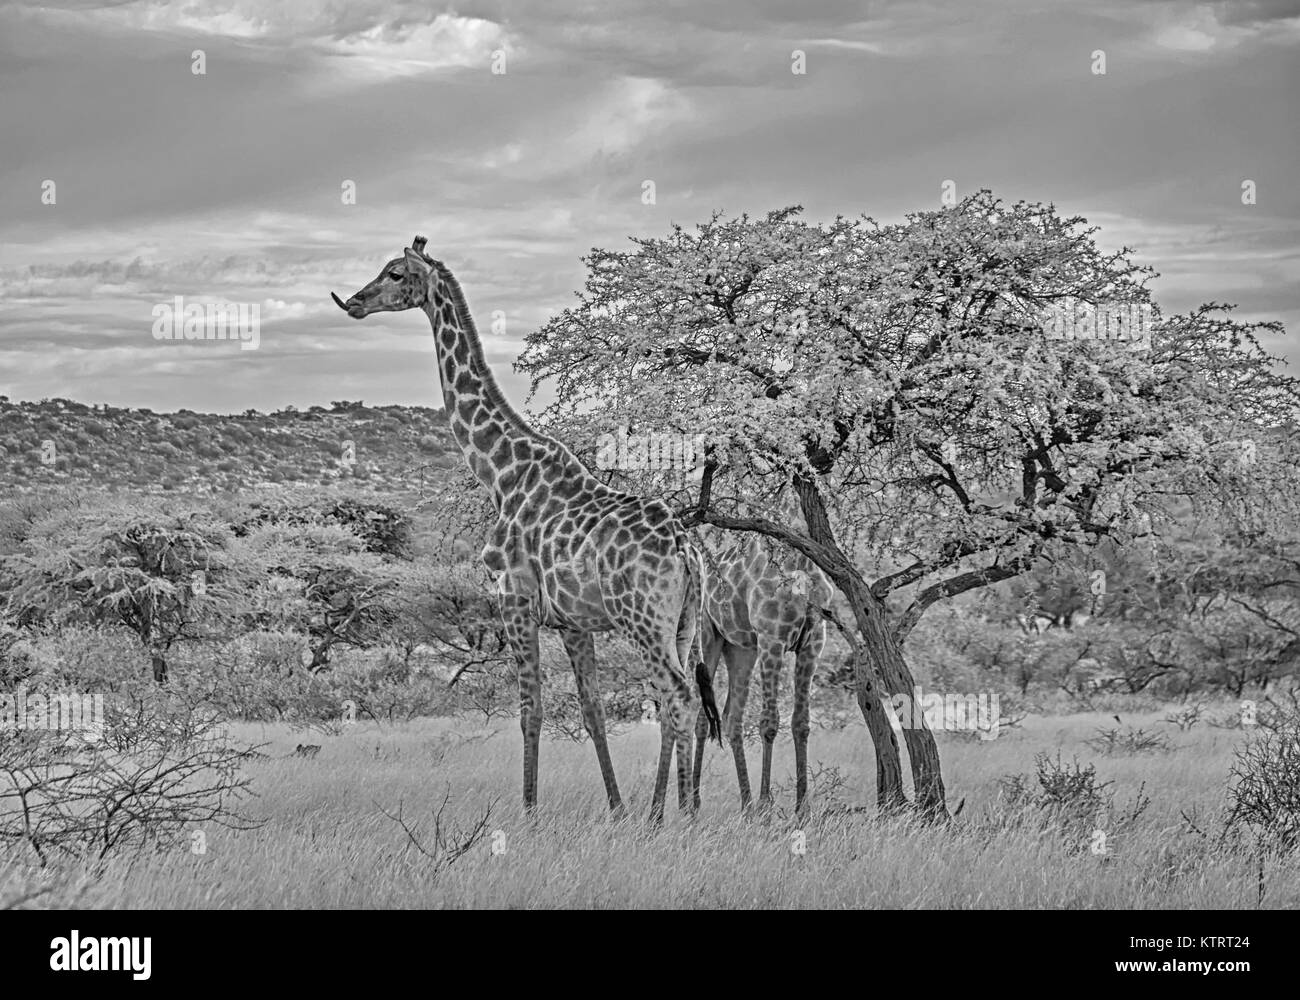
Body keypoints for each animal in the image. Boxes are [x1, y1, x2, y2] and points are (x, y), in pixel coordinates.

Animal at [332, 237, 722, 816]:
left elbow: (529, 710)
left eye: (396, 272)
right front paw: (615, 809)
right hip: (684, 624)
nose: (354, 302)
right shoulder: (573, 622)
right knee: (690, 700)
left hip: (642, 620)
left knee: (675, 696)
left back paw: (661, 816)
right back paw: (686, 810)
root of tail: (684, 547)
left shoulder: (512, 598)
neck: (500, 472)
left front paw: (530, 812)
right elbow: (592, 711)